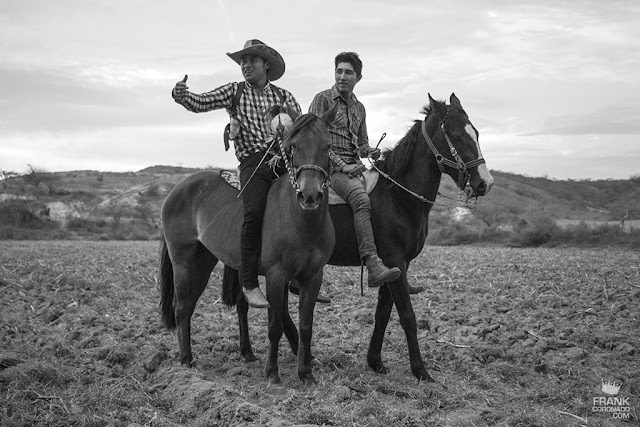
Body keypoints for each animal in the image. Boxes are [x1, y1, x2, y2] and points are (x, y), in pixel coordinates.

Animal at [160, 108, 338, 388]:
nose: (309, 195)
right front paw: (273, 374)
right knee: (182, 308)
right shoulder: (276, 276)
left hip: (207, 260)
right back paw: (186, 362)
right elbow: (275, 325)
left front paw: (306, 374)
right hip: (186, 263)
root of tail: (177, 189)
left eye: (327, 146)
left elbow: (306, 326)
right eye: (294, 146)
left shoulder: (313, 276)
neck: (301, 221)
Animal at [224, 93, 496, 382]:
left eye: (476, 133)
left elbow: (383, 313)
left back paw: (270, 352)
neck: (398, 195)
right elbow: (407, 315)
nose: (485, 182)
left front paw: (375, 361)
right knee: (253, 302)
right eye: (455, 135)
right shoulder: (396, 260)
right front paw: (420, 370)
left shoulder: (396, 266)